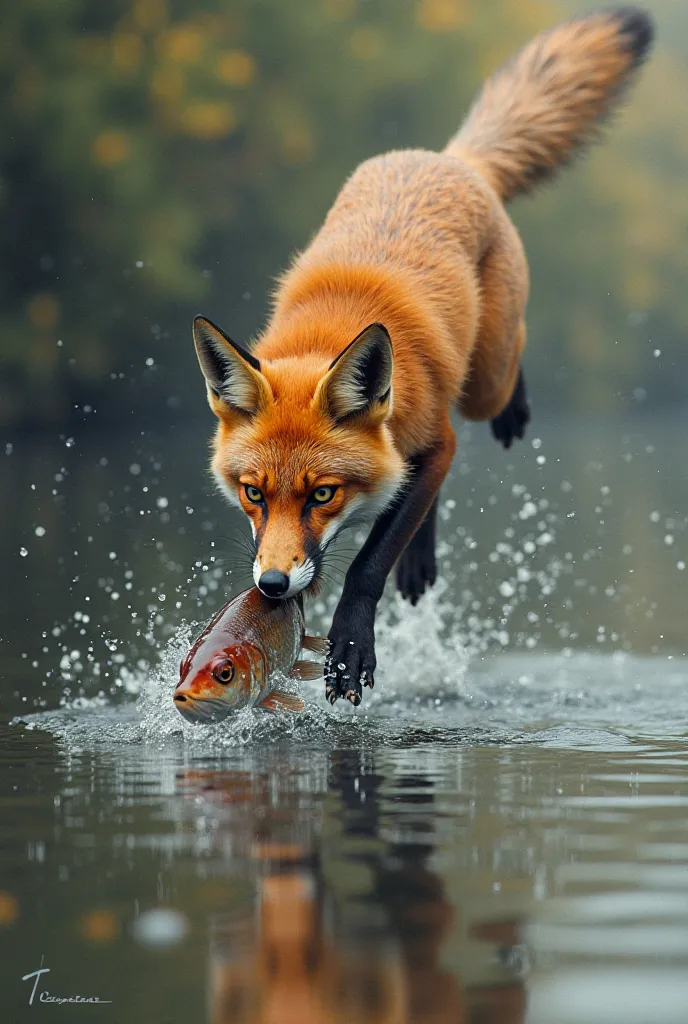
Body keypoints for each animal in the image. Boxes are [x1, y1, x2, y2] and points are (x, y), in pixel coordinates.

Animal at [190, 8, 651, 708]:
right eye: (252, 493)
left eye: (322, 493)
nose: (270, 585)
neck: (332, 328)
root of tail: (449, 159)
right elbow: (357, 544)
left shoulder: (427, 444)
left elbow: (367, 563)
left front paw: (352, 645)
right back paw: (420, 554)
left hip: (484, 378)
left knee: (495, 385)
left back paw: (512, 413)